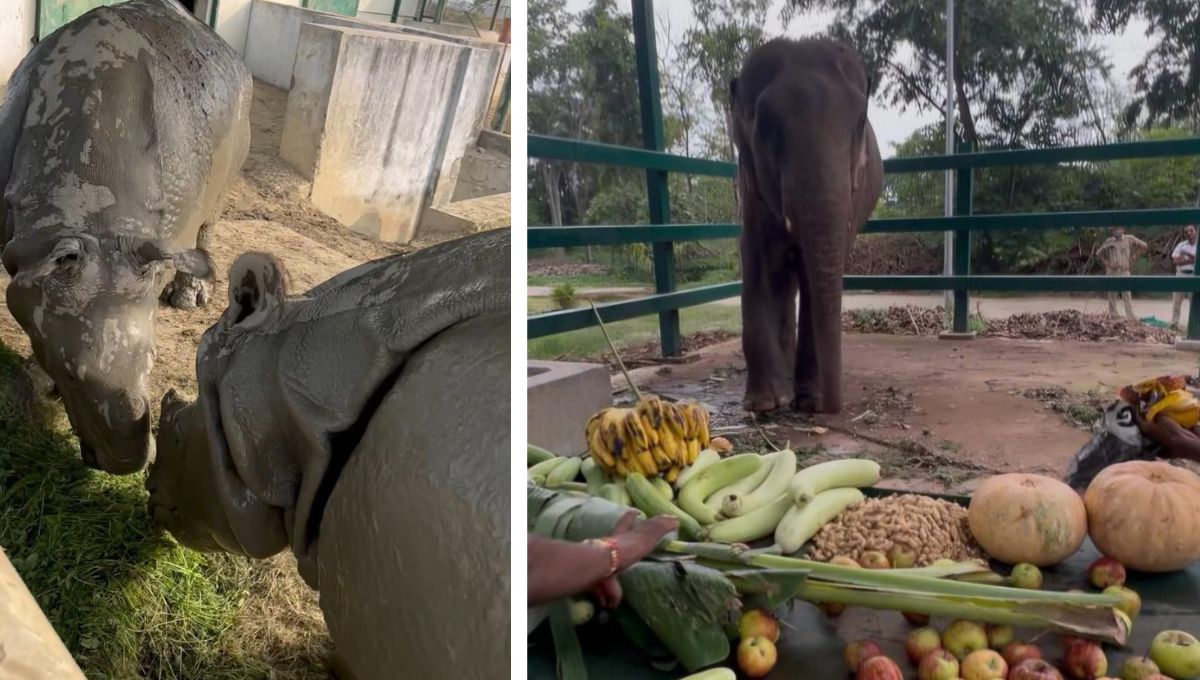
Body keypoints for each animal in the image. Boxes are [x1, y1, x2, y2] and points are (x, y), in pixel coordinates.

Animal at [0, 0, 251, 473]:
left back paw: (188, 300)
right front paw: (36, 383)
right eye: (68, 371)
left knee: (212, 217)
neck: (90, 209)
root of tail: (224, 47)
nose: (124, 465)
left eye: (152, 358)